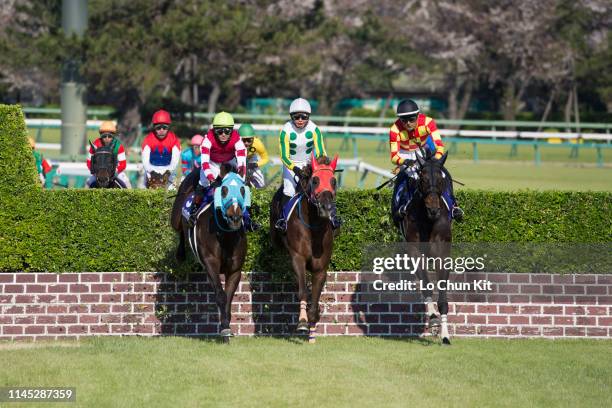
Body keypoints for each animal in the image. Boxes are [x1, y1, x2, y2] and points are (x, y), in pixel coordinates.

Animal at [170, 164, 246, 342]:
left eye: (243, 189)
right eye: (223, 190)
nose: (235, 217)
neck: (225, 236)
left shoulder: (235, 270)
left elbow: (228, 297)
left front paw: (227, 326)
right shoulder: (211, 264)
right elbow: (221, 295)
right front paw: (224, 329)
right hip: (175, 217)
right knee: (180, 229)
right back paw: (180, 254)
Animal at [272, 155, 342, 342]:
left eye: (333, 181)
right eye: (315, 180)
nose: (326, 207)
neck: (313, 226)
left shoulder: (321, 267)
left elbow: (315, 298)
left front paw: (312, 329)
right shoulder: (298, 258)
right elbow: (303, 291)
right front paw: (303, 322)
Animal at [396, 150, 454, 344]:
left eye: (442, 179)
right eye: (422, 178)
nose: (434, 209)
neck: (428, 221)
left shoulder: (442, 251)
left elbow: (442, 292)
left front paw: (445, 335)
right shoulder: (414, 250)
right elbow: (426, 284)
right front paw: (434, 318)